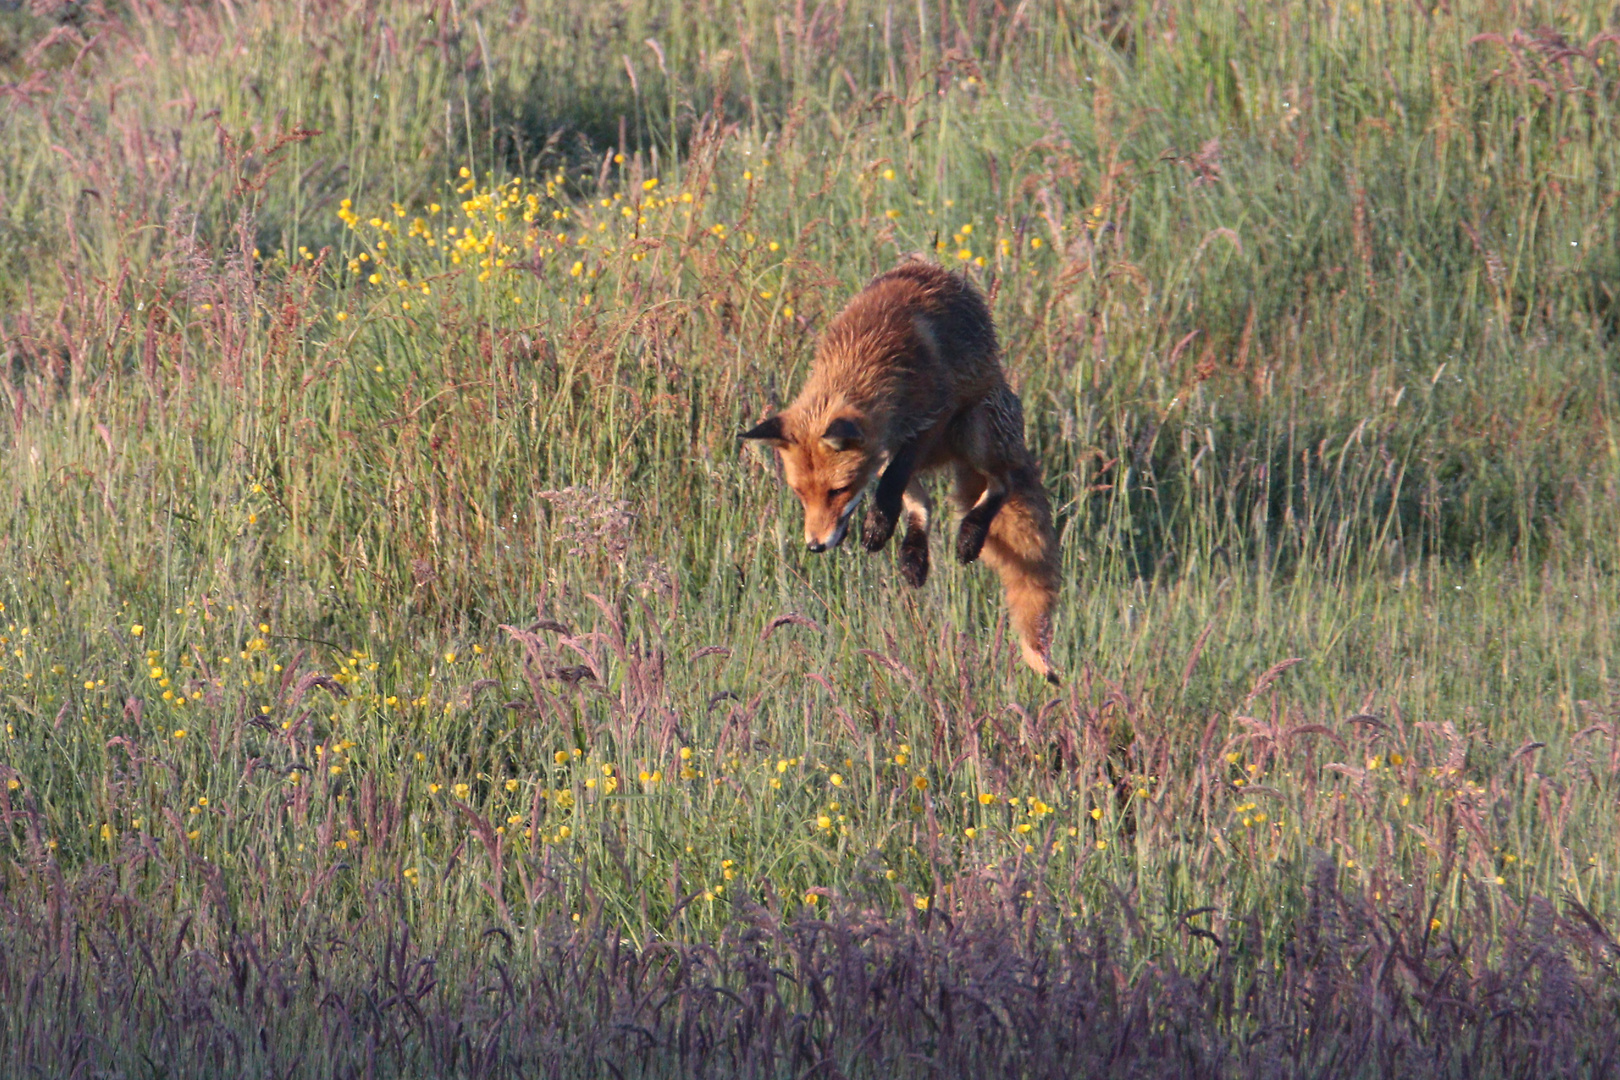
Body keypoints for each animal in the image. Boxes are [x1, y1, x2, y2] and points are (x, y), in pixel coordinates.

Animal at [738, 262, 1062, 683]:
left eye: (838, 490)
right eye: (800, 495)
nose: (815, 545)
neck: (869, 354)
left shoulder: (932, 418)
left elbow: (891, 482)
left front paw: (877, 526)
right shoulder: (892, 443)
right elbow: (899, 490)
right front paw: (888, 532)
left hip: (974, 429)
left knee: (1000, 484)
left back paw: (970, 534)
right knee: (924, 503)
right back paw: (914, 555)